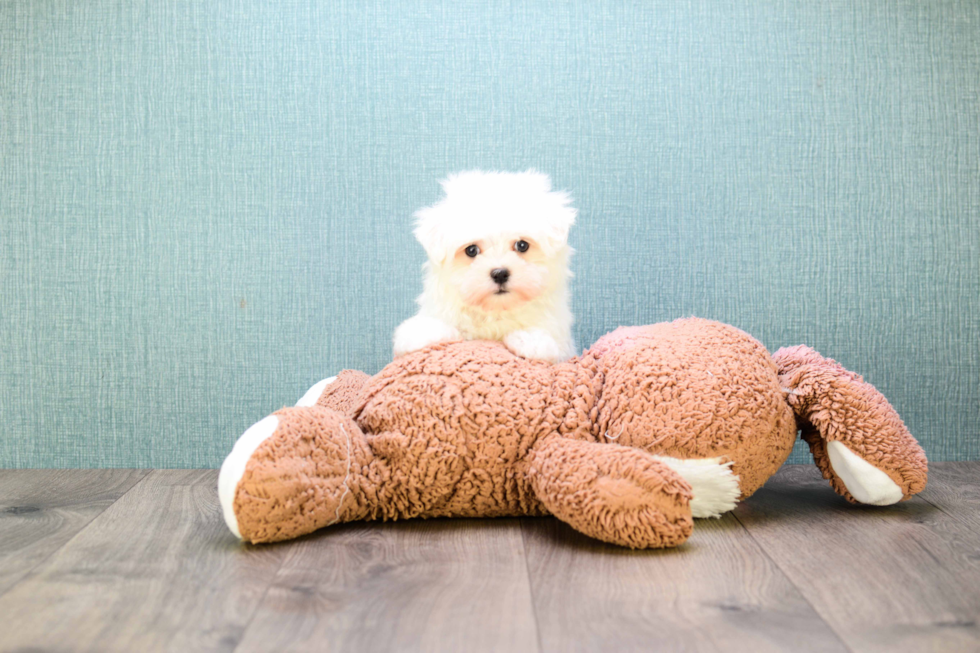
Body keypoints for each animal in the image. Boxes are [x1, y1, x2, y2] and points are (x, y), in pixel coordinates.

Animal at [390, 168, 576, 362]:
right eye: (471, 250)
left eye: (522, 245)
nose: (500, 273)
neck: (495, 311)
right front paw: (419, 333)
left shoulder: (563, 343)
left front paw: (530, 340)